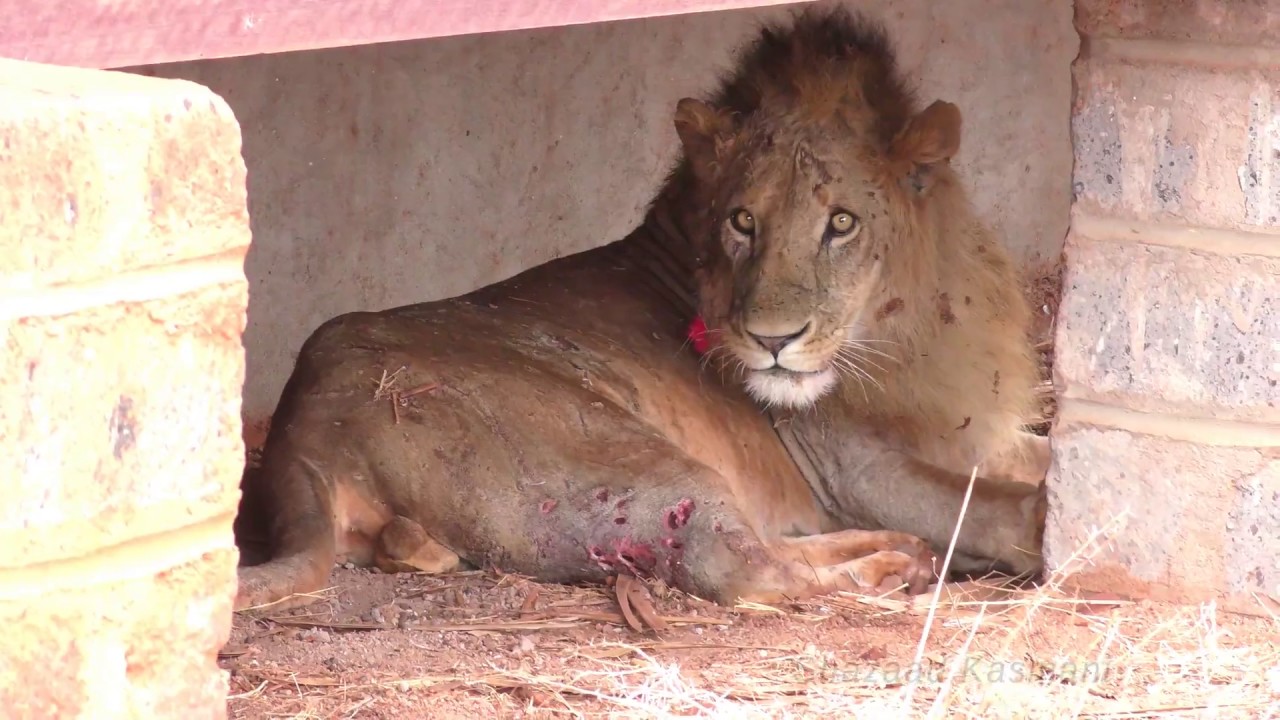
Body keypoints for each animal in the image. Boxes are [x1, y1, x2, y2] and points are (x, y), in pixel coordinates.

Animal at [233, 6, 1050, 612]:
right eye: (742, 221)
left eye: (841, 223)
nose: (771, 341)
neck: (904, 329)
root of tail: (305, 428)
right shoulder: (853, 470)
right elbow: (994, 508)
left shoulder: (967, 431)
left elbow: (1043, 455)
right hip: (630, 461)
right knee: (745, 566)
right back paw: (893, 563)